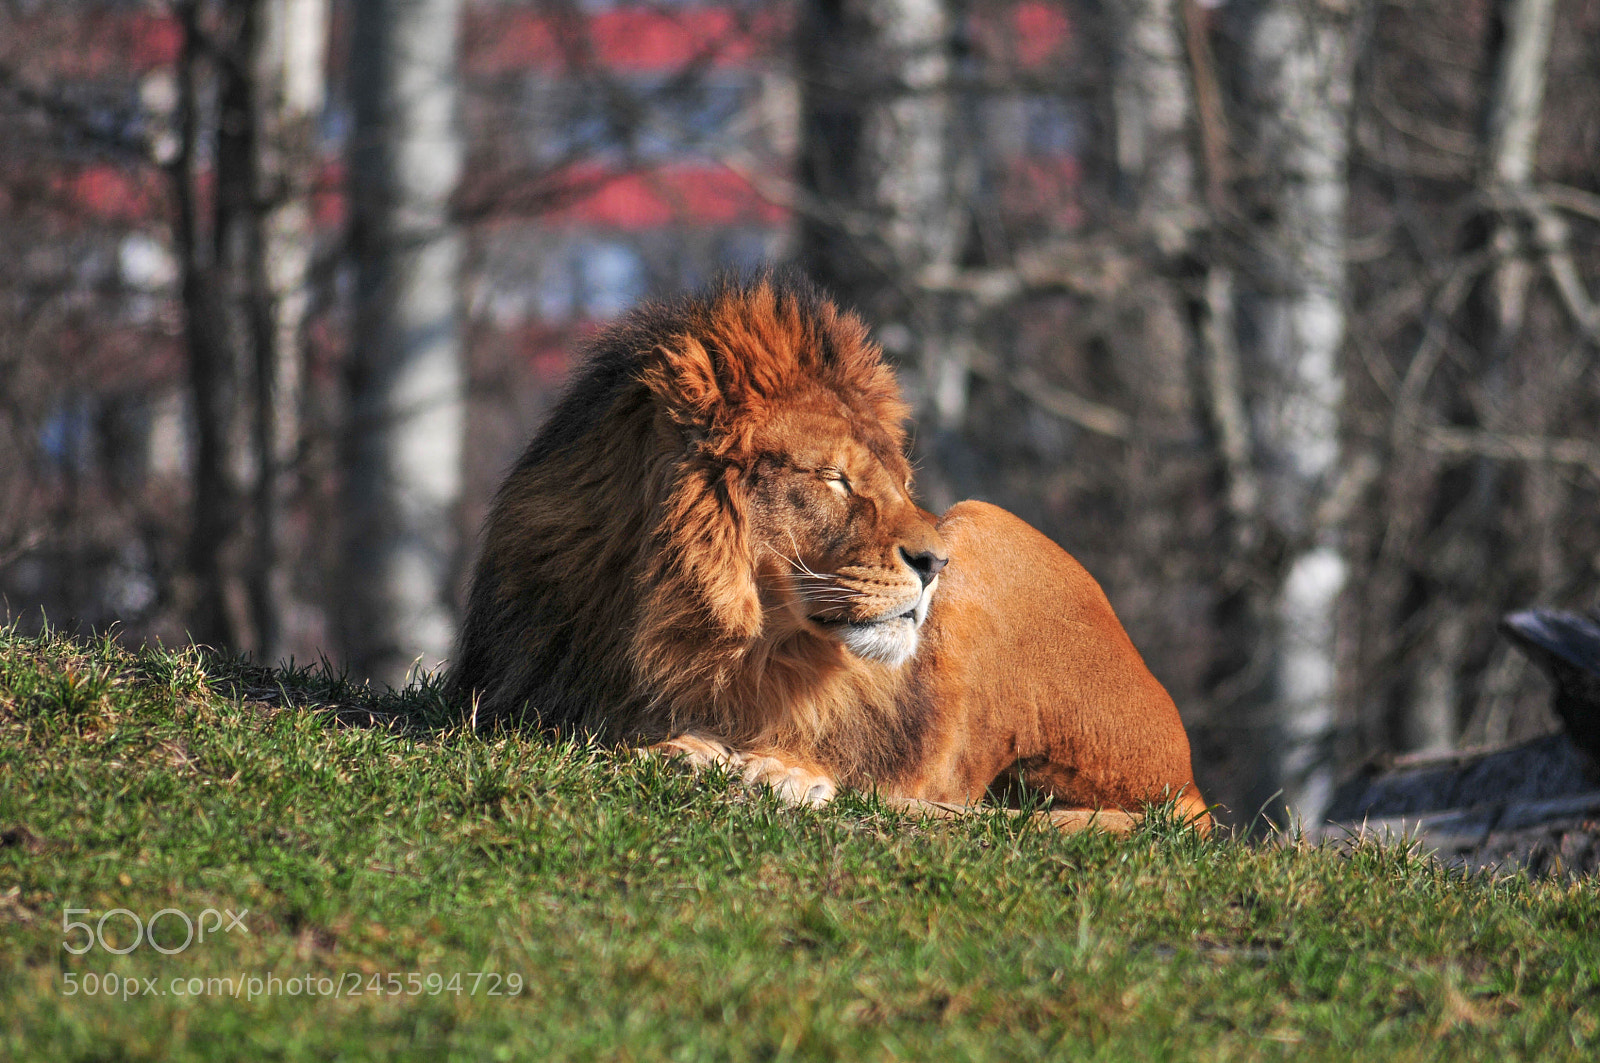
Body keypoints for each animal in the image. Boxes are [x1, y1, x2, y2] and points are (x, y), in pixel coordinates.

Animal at [452, 274, 1209, 833]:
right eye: (835, 478)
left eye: (898, 482)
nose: (936, 564)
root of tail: (1189, 770)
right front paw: (688, 750)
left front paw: (774, 768)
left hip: (985, 525)